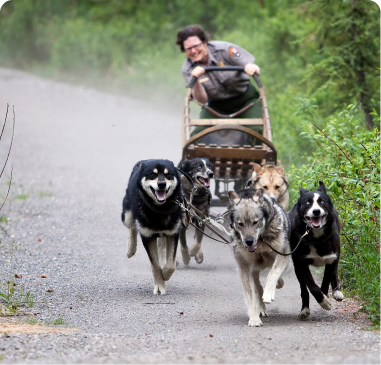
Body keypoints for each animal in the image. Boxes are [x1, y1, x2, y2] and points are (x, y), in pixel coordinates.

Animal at [121, 159, 182, 292]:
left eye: (168, 174)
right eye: (152, 174)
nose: (162, 184)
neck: (159, 209)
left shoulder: (173, 233)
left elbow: (171, 264)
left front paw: (165, 274)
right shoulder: (147, 236)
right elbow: (155, 265)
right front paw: (159, 286)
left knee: (162, 244)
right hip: (127, 215)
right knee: (132, 227)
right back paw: (131, 248)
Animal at [288, 181, 344, 318]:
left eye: (322, 202)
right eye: (308, 203)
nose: (316, 211)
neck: (316, 236)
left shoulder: (332, 257)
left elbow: (326, 280)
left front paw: (325, 298)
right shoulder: (300, 263)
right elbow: (312, 286)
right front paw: (323, 300)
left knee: (334, 271)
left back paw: (337, 291)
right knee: (304, 289)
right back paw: (305, 309)